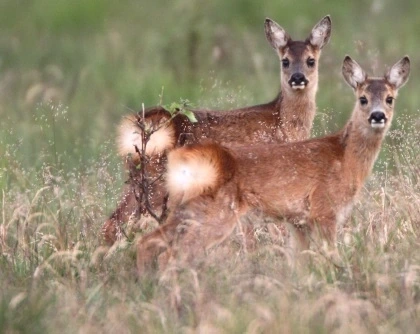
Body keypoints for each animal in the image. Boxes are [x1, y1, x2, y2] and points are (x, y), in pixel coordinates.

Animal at [101, 15, 332, 244]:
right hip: (155, 179)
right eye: (285, 61)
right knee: (116, 223)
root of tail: (136, 123)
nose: (298, 78)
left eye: (311, 60)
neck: (282, 123)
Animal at [137, 55, 410, 274]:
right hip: (215, 212)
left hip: (183, 208)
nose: (377, 116)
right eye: (363, 99)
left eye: (390, 99)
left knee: (147, 242)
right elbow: (329, 258)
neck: (345, 159)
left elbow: (301, 264)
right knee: (172, 255)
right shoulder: (323, 210)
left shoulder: (299, 222)